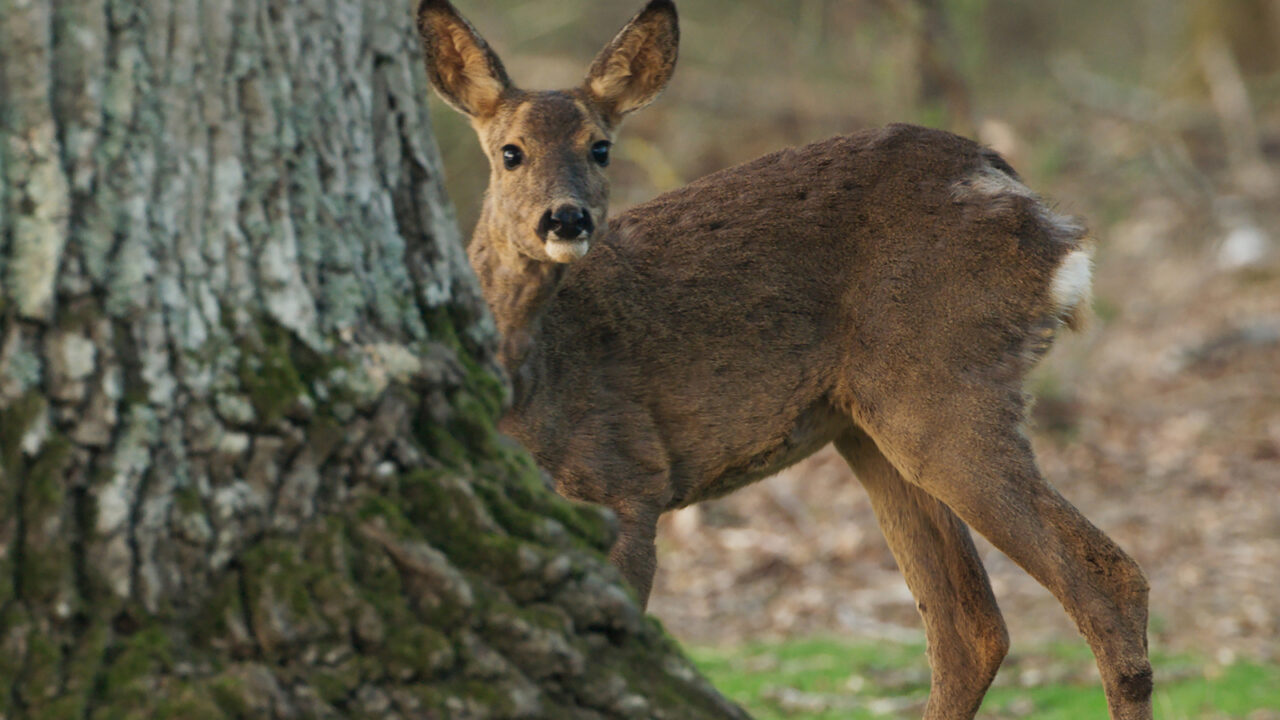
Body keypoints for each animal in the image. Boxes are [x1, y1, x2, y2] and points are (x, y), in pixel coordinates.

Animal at [417, 1, 1152, 717]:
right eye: (510, 152)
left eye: (600, 148)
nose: (565, 220)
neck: (533, 379)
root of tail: (1046, 226)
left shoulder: (626, 479)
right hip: (871, 425)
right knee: (967, 629)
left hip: (941, 382)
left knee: (1106, 580)